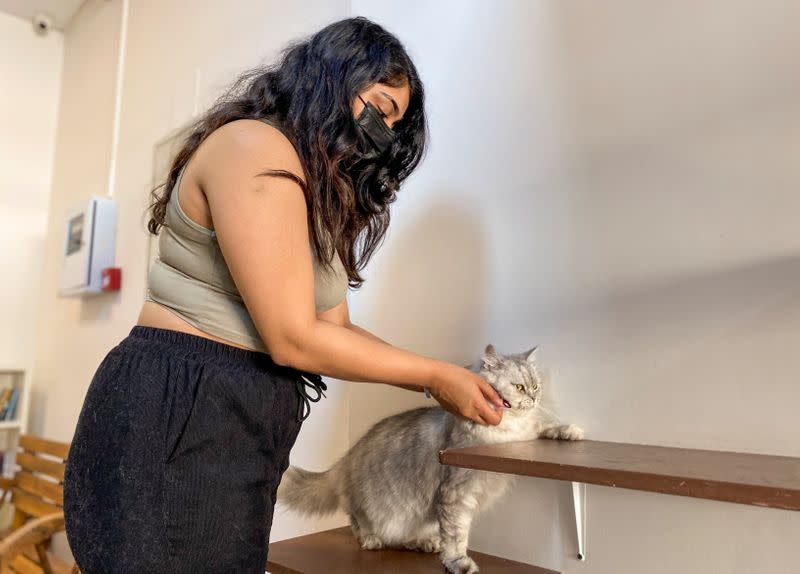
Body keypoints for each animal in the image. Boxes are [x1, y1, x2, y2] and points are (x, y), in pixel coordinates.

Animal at [276, 344, 580, 572]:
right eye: (518, 387)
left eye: (536, 387)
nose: (534, 399)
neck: (508, 433)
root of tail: (347, 456)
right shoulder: (456, 493)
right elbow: (457, 535)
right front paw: (458, 562)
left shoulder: (526, 435)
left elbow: (545, 427)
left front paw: (570, 430)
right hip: (369, 506)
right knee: (357, 522)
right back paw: (372, 539)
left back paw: (424, 543)